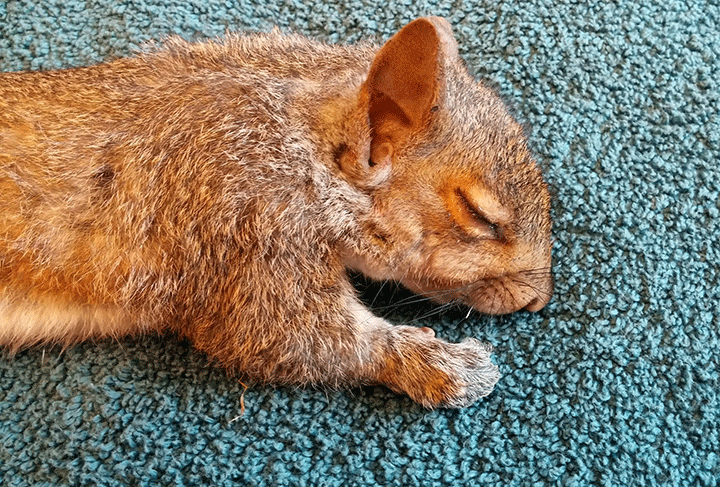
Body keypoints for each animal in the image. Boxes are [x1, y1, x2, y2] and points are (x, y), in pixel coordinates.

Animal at [0, 17, 552, 408]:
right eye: (478, 216)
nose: (539, 301)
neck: (296, 130)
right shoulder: (242, 221)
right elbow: (291, 335)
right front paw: (438, 363)